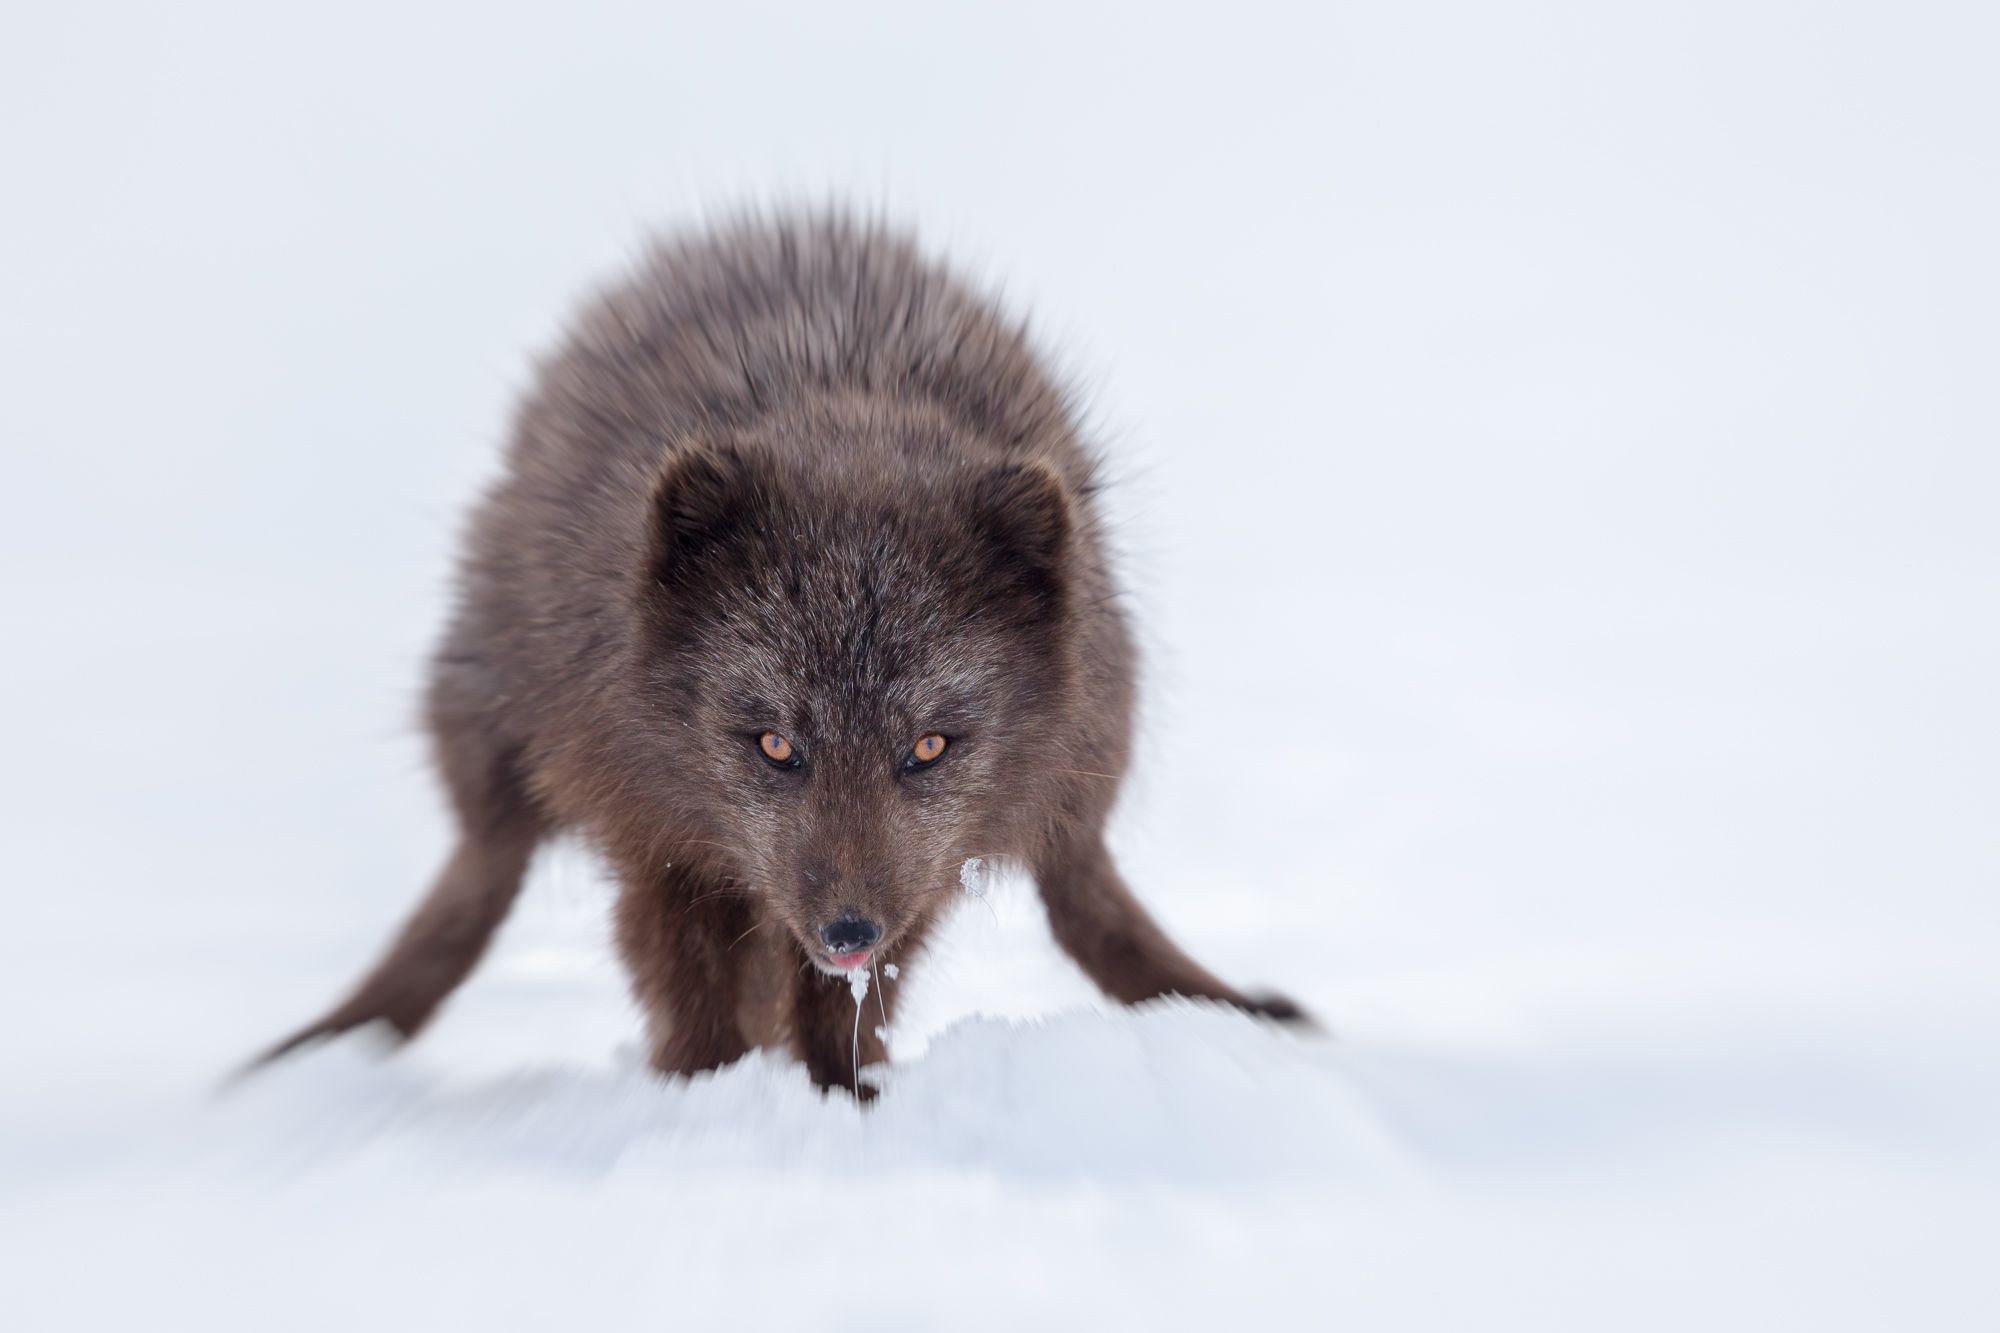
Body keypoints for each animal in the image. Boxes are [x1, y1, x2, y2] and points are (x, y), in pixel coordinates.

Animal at [261, 213, 1304, 1096]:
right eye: (773, 745)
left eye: (929, 747)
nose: (846, 927)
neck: (845, 401)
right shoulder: (661, 840)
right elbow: (694, 994)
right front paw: (705, 1099)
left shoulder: (920, 877)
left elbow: (846, 1007)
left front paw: (844, 1101)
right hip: (497, 757)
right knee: (480, 880)